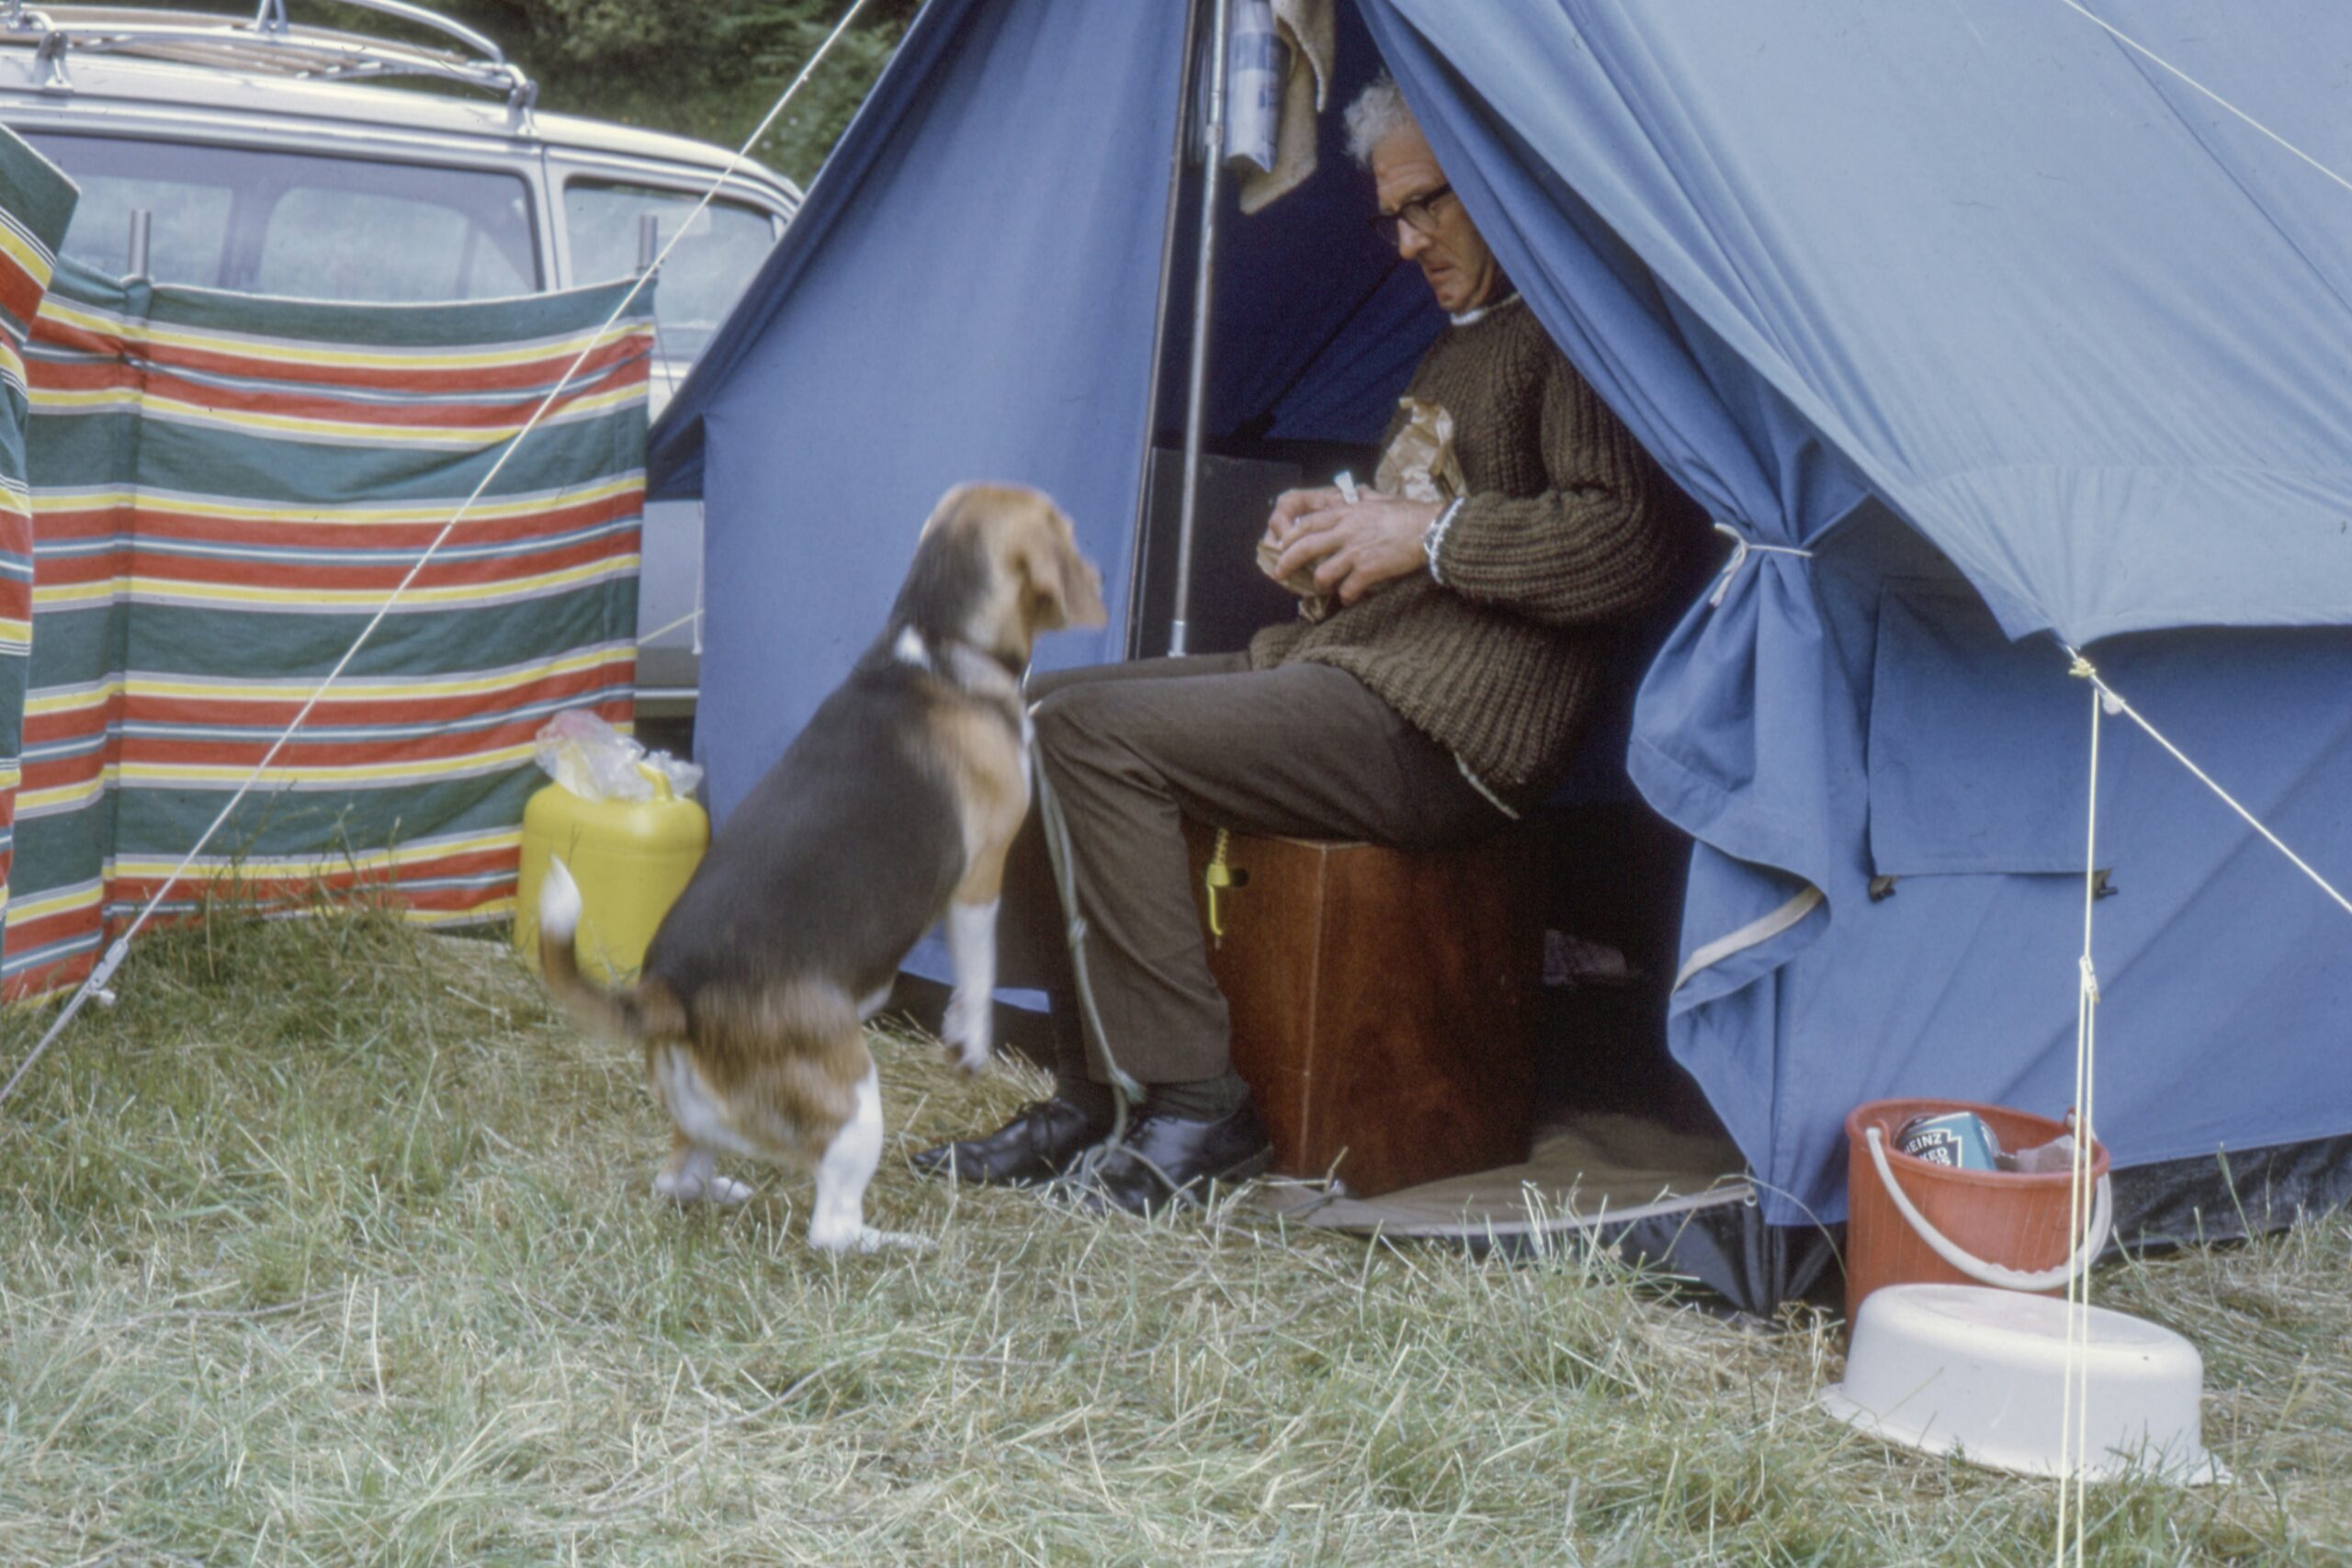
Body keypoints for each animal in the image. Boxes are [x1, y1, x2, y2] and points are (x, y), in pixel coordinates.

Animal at [538, 484, 1105, 1259]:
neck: (934, 644)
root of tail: (671, 989)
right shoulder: (980, 873)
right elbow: (979, 968)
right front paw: (971, 1039)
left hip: (698, 1114)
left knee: (677, 1178)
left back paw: (720, 1189)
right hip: (856, 1102)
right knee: (830, 1228)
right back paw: (898, 1244)